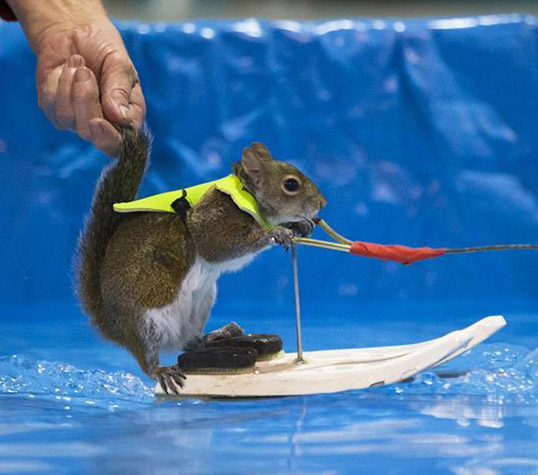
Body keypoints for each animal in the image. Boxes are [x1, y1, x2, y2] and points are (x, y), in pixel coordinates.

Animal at [76, 128, 326, 396]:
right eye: (291, 184)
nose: (322, 203)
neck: (245, 194)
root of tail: (110, 323)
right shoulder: (214, 222)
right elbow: (220, 246)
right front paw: (276, 231)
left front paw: (299, 224)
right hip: (144, 322)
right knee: (148, 356)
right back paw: (161, 370)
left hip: (201, 304)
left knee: (192, 344)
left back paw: (219, 334)